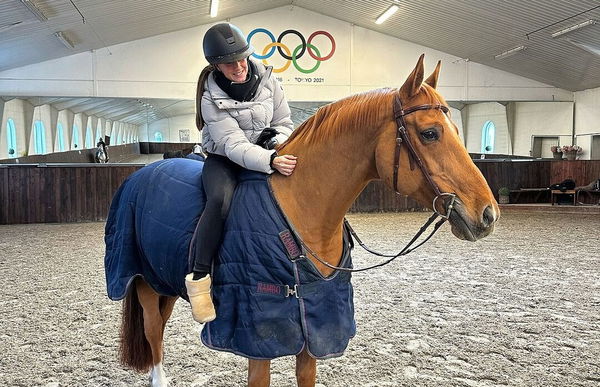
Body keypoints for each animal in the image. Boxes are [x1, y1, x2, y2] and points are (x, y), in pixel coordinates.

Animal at [111, 55, 496, 387]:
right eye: (430, 133)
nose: (488, 213)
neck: (300, 209)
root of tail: (139, 176)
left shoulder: (314, 324)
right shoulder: (257, 337)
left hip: (163, 280)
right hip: (142, 281)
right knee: (152, 329)